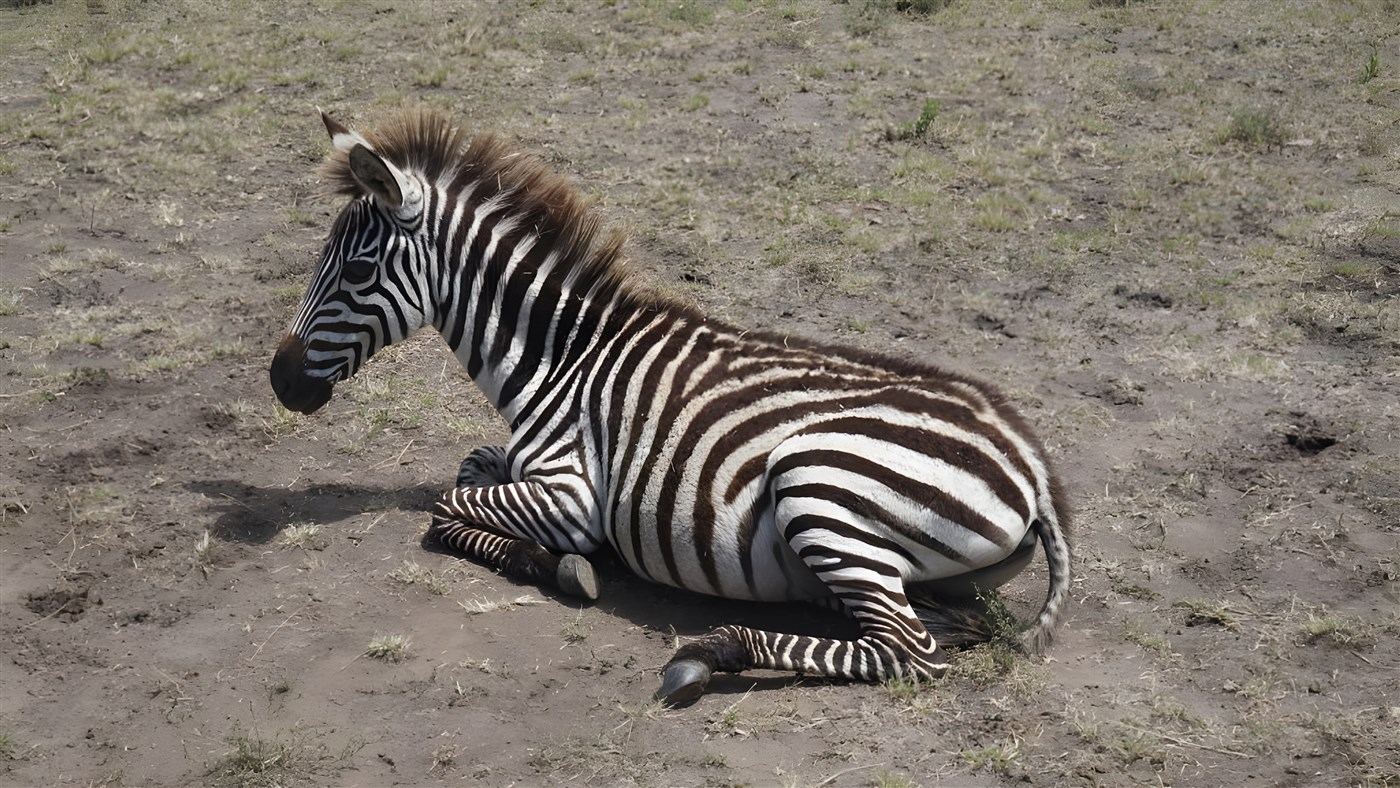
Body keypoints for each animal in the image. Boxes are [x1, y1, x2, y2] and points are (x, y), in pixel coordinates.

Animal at [269, 108, 1072, 706]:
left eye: (359, 271)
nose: (279, 381)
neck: (563, 358)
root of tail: (1034, 467)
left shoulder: (572, 495)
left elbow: (444, 506)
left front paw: (561, 565)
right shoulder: (526, 462)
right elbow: (468, 468)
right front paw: (542, 557)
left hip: (818, 480)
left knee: (913, 652)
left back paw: (712, 652)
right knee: (933, 623)